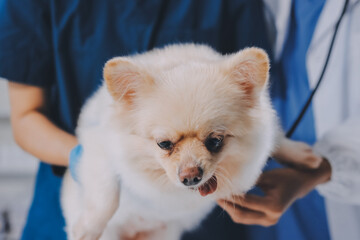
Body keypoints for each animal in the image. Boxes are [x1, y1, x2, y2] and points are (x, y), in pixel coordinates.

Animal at [61, 44, 276, 239]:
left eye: (215, 140)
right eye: (163, 143)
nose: (191, 176)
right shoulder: (97, 145)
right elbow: (106, 195)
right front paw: (88, 229)